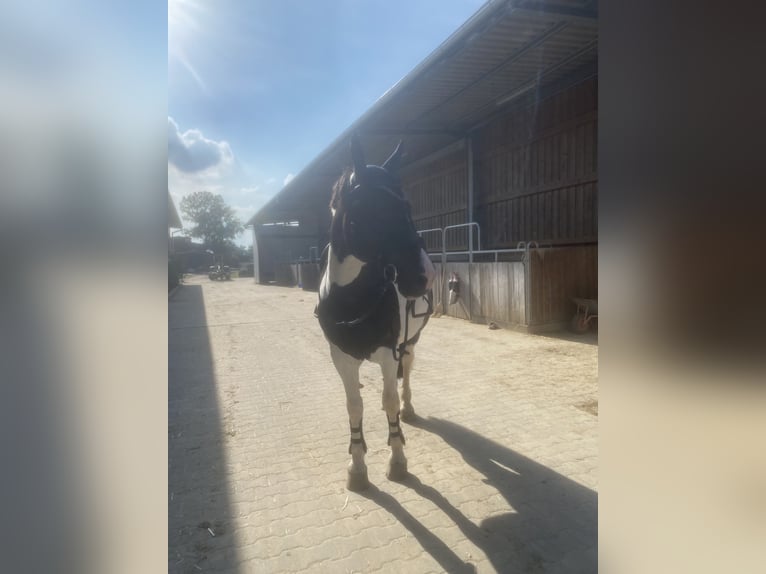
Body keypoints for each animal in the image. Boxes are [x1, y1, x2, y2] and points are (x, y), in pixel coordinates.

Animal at [316, 135, 436, 490]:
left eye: (407, 207)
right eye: (372, 209)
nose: (425, 275)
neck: (351, 301)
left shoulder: (387, 352)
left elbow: (389, 401)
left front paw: (397, 461)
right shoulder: (341, 357)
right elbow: (354, 406)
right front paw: (357, 465)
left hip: (410, 341)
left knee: (407, 370)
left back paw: (408, 409)